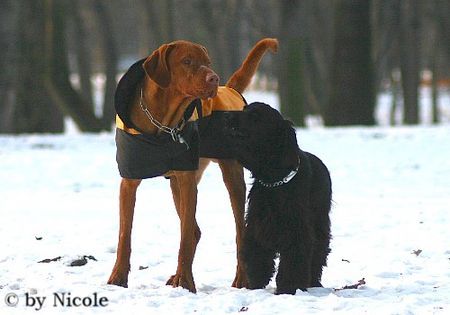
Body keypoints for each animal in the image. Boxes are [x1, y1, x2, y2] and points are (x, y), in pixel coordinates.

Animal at [109, 38, 278, 292]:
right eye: (187, 61)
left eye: (208, 62)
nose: (214, 79)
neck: (162, 125)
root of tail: (230, 89)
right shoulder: (129, 183)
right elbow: (124, 235)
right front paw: (118, 277)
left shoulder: (188, 182)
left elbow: (185, 238)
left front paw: (185, 281)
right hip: (176, 184)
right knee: (196, 231)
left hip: (231, 177)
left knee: (239, 231)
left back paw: (242, 278)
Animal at [227, 102, 332, 296]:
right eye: (245, 108)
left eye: (256, 116)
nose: (228, 116)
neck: (275, 181)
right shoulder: (256, 227)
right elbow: (257, 258)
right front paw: (255, 285)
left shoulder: (296, 231)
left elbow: (293, 262)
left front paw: (288, 288)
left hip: (320, 224)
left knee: (318, 254)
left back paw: (314, 282)